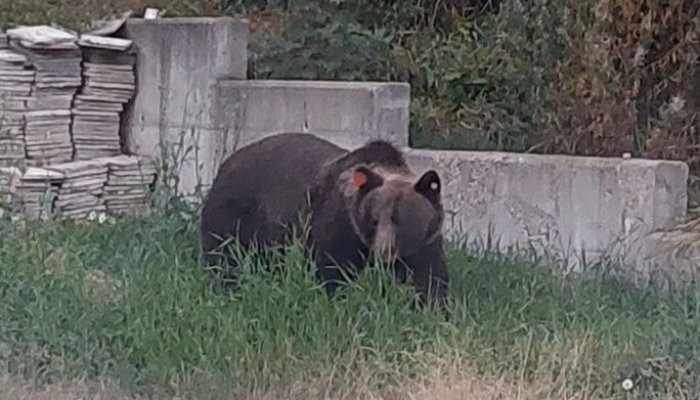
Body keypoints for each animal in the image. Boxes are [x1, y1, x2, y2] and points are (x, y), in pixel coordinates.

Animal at [200, 133, 448, 310]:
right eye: (374, 219)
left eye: (400, 219)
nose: (383, 251)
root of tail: (224, 164)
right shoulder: (337, 228)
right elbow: (330, 272)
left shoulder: (425, 244)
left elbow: (429, 279)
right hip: (235, 214)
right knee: (225, 258)